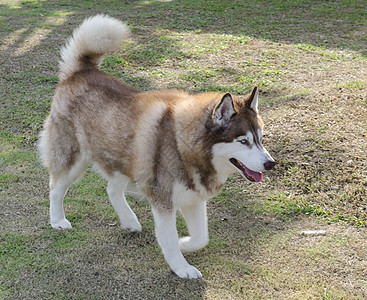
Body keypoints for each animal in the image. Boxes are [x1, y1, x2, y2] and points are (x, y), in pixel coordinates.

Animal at [39, 15, 276, 278]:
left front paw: (185, 244)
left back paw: (129, 220)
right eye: (243, 141)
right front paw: (182, 266)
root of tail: (81, 71)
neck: (184, 145)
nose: (271, 163)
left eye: (260, 139)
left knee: (112, 189)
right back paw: (57, 220)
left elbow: (201, 237)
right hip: (73, 158)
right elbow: (170, 239)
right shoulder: (164, 200)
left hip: (126, 157)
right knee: (56, 188)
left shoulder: (193, 197)